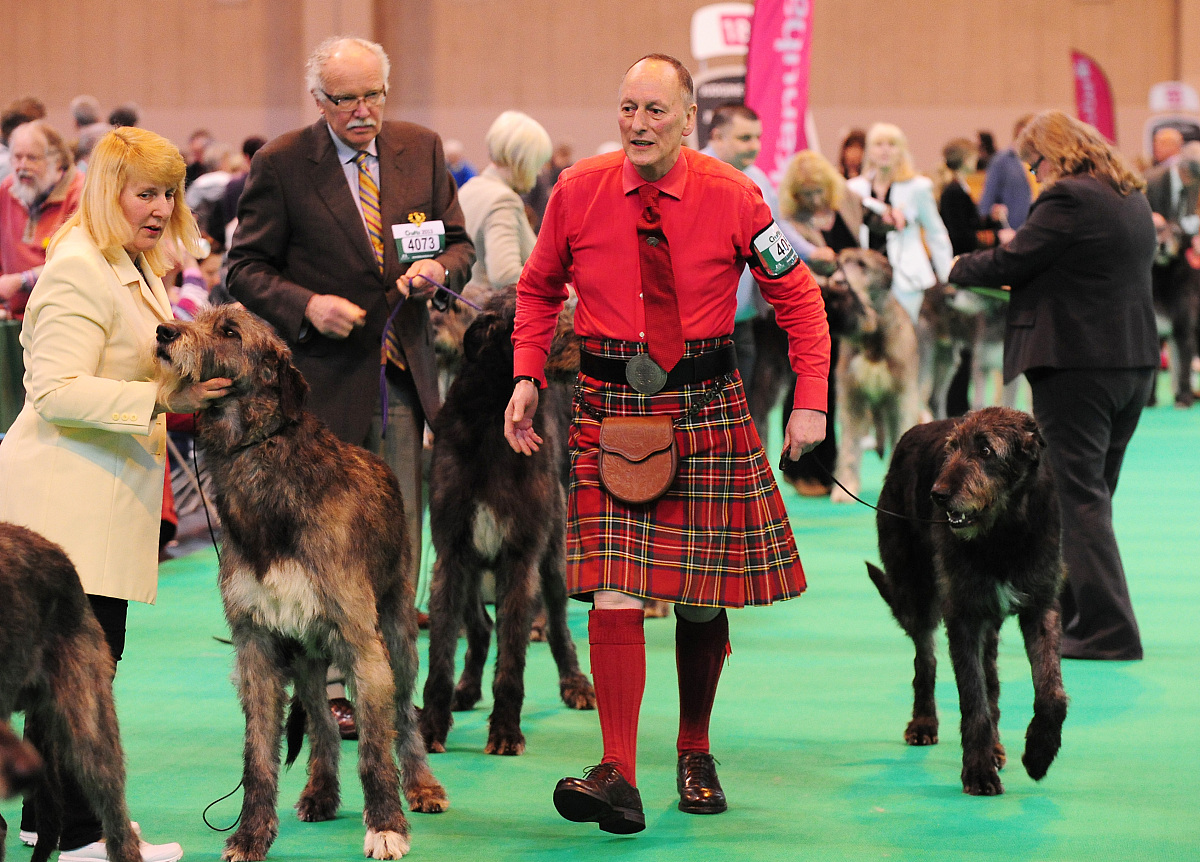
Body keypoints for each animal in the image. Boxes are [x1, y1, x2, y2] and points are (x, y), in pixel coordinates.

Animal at [154, 307, 446, 859]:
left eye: (229, 331)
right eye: (199, 316)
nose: (163, 331)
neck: (261, 458)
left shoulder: (359, 639)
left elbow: (375, 748)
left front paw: (386, 825)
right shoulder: (255, 644)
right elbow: (258, 756)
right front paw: (250, 835)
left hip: (395, 629)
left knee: (403, 715)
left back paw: (421, 786)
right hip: (308, 655)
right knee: (323, 721)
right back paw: (320, 791)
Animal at [422, 288, 595, 758]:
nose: (589, 339)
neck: (491, 418)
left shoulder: (520, 555)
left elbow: (512, 657)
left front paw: (504, 730)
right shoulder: (451, 552)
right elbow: (441, 652)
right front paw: (430, 726)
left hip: (554, 555)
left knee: (557, 625)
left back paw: (575, 683)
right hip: (470, 569)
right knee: (480, 629)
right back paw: (465, 689)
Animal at [835, 248, 916, 506]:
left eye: (862, 265)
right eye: (840, 263)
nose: (838, 282)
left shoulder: (902, 395)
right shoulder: (852, 395)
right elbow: (849, 444)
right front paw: (845, 488)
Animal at [864, 408, 1070, 801]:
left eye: (986, 450)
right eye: (951, 450)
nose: (938, 495)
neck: (1003, 535)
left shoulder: (1041, 606)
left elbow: (1051, 693)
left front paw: (1039, 753)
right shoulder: (962, 614)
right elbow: (973, 700)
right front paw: (978, 771)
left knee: (991, 675)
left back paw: (998, 747)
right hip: (914, 587)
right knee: (925, 658)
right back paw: (924, 722)